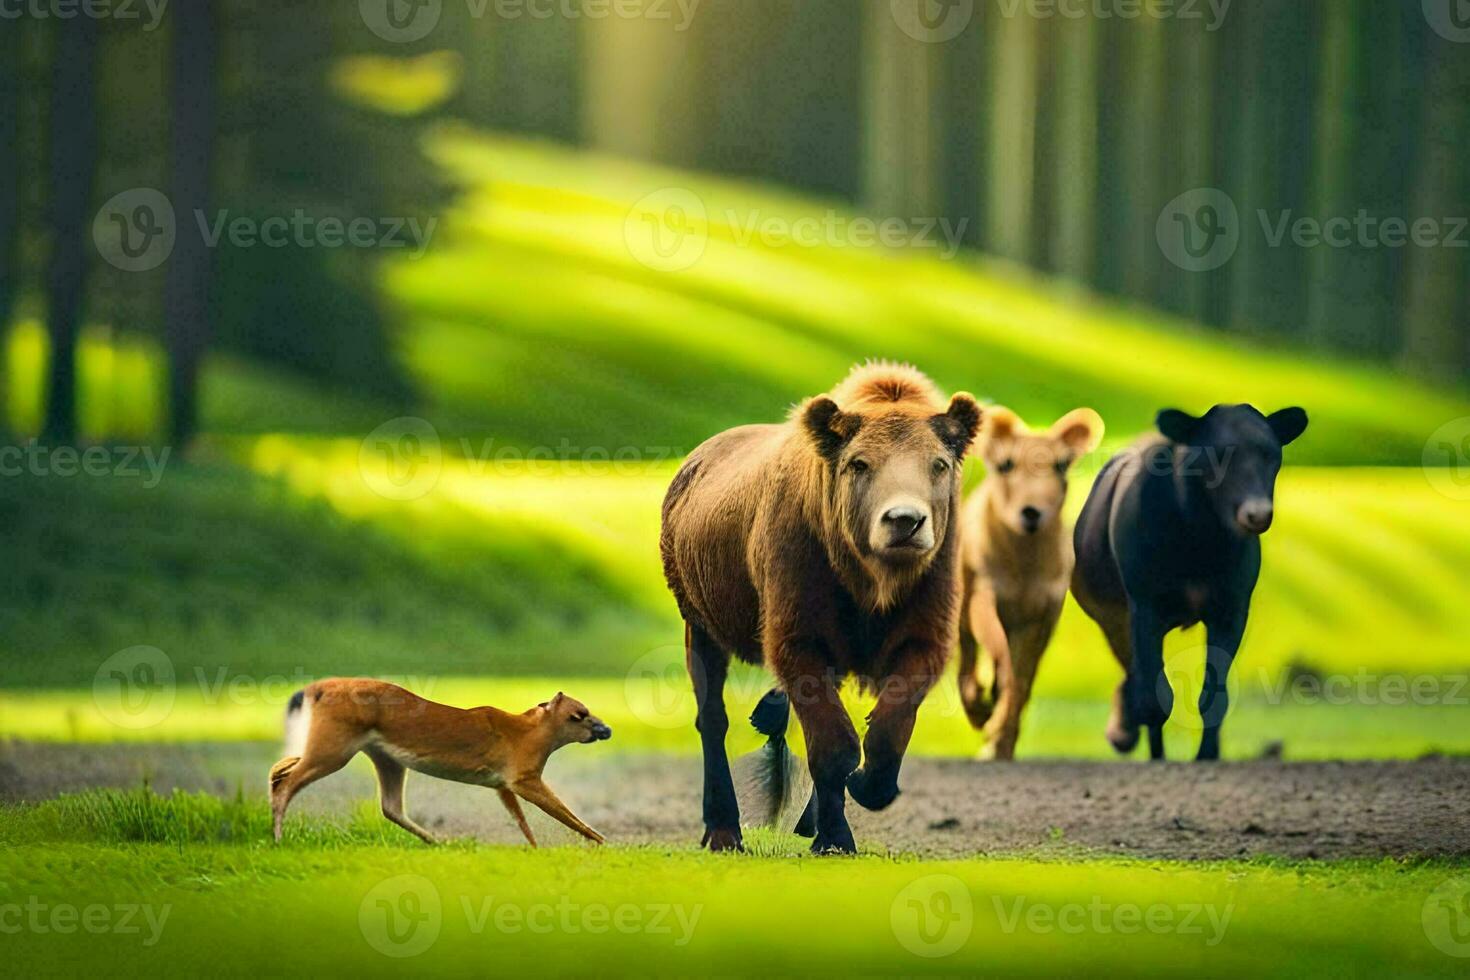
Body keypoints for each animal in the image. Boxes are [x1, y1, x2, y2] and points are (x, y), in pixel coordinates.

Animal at [271, 678, 614, 846]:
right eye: (578, 715)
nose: (606, 730)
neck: (529, 732)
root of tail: (314, 688)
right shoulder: (524, 779)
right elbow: (567, 815)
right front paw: (603, 841)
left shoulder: (502, 785)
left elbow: (523, 823)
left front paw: (536, 850)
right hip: (335, 750)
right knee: (286, 783)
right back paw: (277, 836)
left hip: (382, 758)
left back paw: (437, 841)